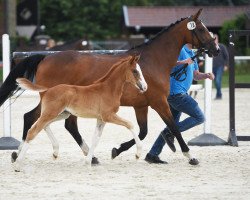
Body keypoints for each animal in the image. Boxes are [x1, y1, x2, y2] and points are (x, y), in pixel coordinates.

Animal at [13, 55, 146, 171]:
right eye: (135, 71)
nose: (145, 87)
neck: (108, 89)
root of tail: (48, 89)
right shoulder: (108, 116)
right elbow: (130, 124)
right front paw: (138, 154)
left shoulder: (101, 119)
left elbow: (95, 139)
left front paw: (88, 162)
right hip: (52, 113)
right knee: (33, 131)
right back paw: (18, 165)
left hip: (62, 114)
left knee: (44, 125)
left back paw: (55, 152)